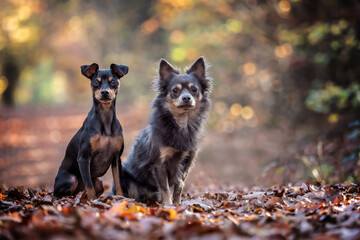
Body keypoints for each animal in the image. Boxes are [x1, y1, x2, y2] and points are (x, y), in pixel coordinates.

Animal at [54, 62, 129, 200]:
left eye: (113, 81)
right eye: (95, 82)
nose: (104, 92)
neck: (105, 119)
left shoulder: (117, 157)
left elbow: (118, 182)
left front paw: (120, 199)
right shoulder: (84, 157)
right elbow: (89, 187)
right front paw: (92, 201)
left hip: (99, 182)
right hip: (71, 180)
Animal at [115, 56, 211, 204]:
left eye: (194, 89)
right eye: (175, 91)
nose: (186, 98)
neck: (181, 123)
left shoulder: (187, 163)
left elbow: (179, 186)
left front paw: (177, 204)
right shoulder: (159, 164)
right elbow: (165, 188)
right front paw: (168, 204)